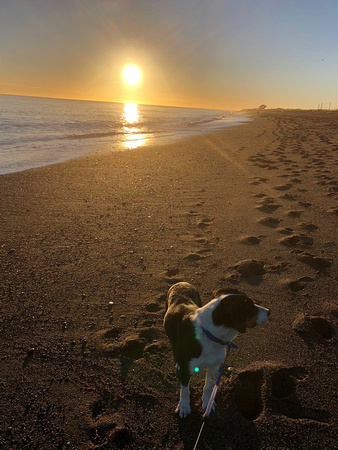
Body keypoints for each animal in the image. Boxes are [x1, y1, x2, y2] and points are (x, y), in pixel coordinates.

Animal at [163, 282, 270, 418]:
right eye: (251, 308)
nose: (269, 312)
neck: (209, 335)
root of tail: (182, 282)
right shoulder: (185, 369)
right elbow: (185, 390)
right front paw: (184, 406)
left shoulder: (215, 364)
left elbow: (208, 386)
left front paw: (207, 403)